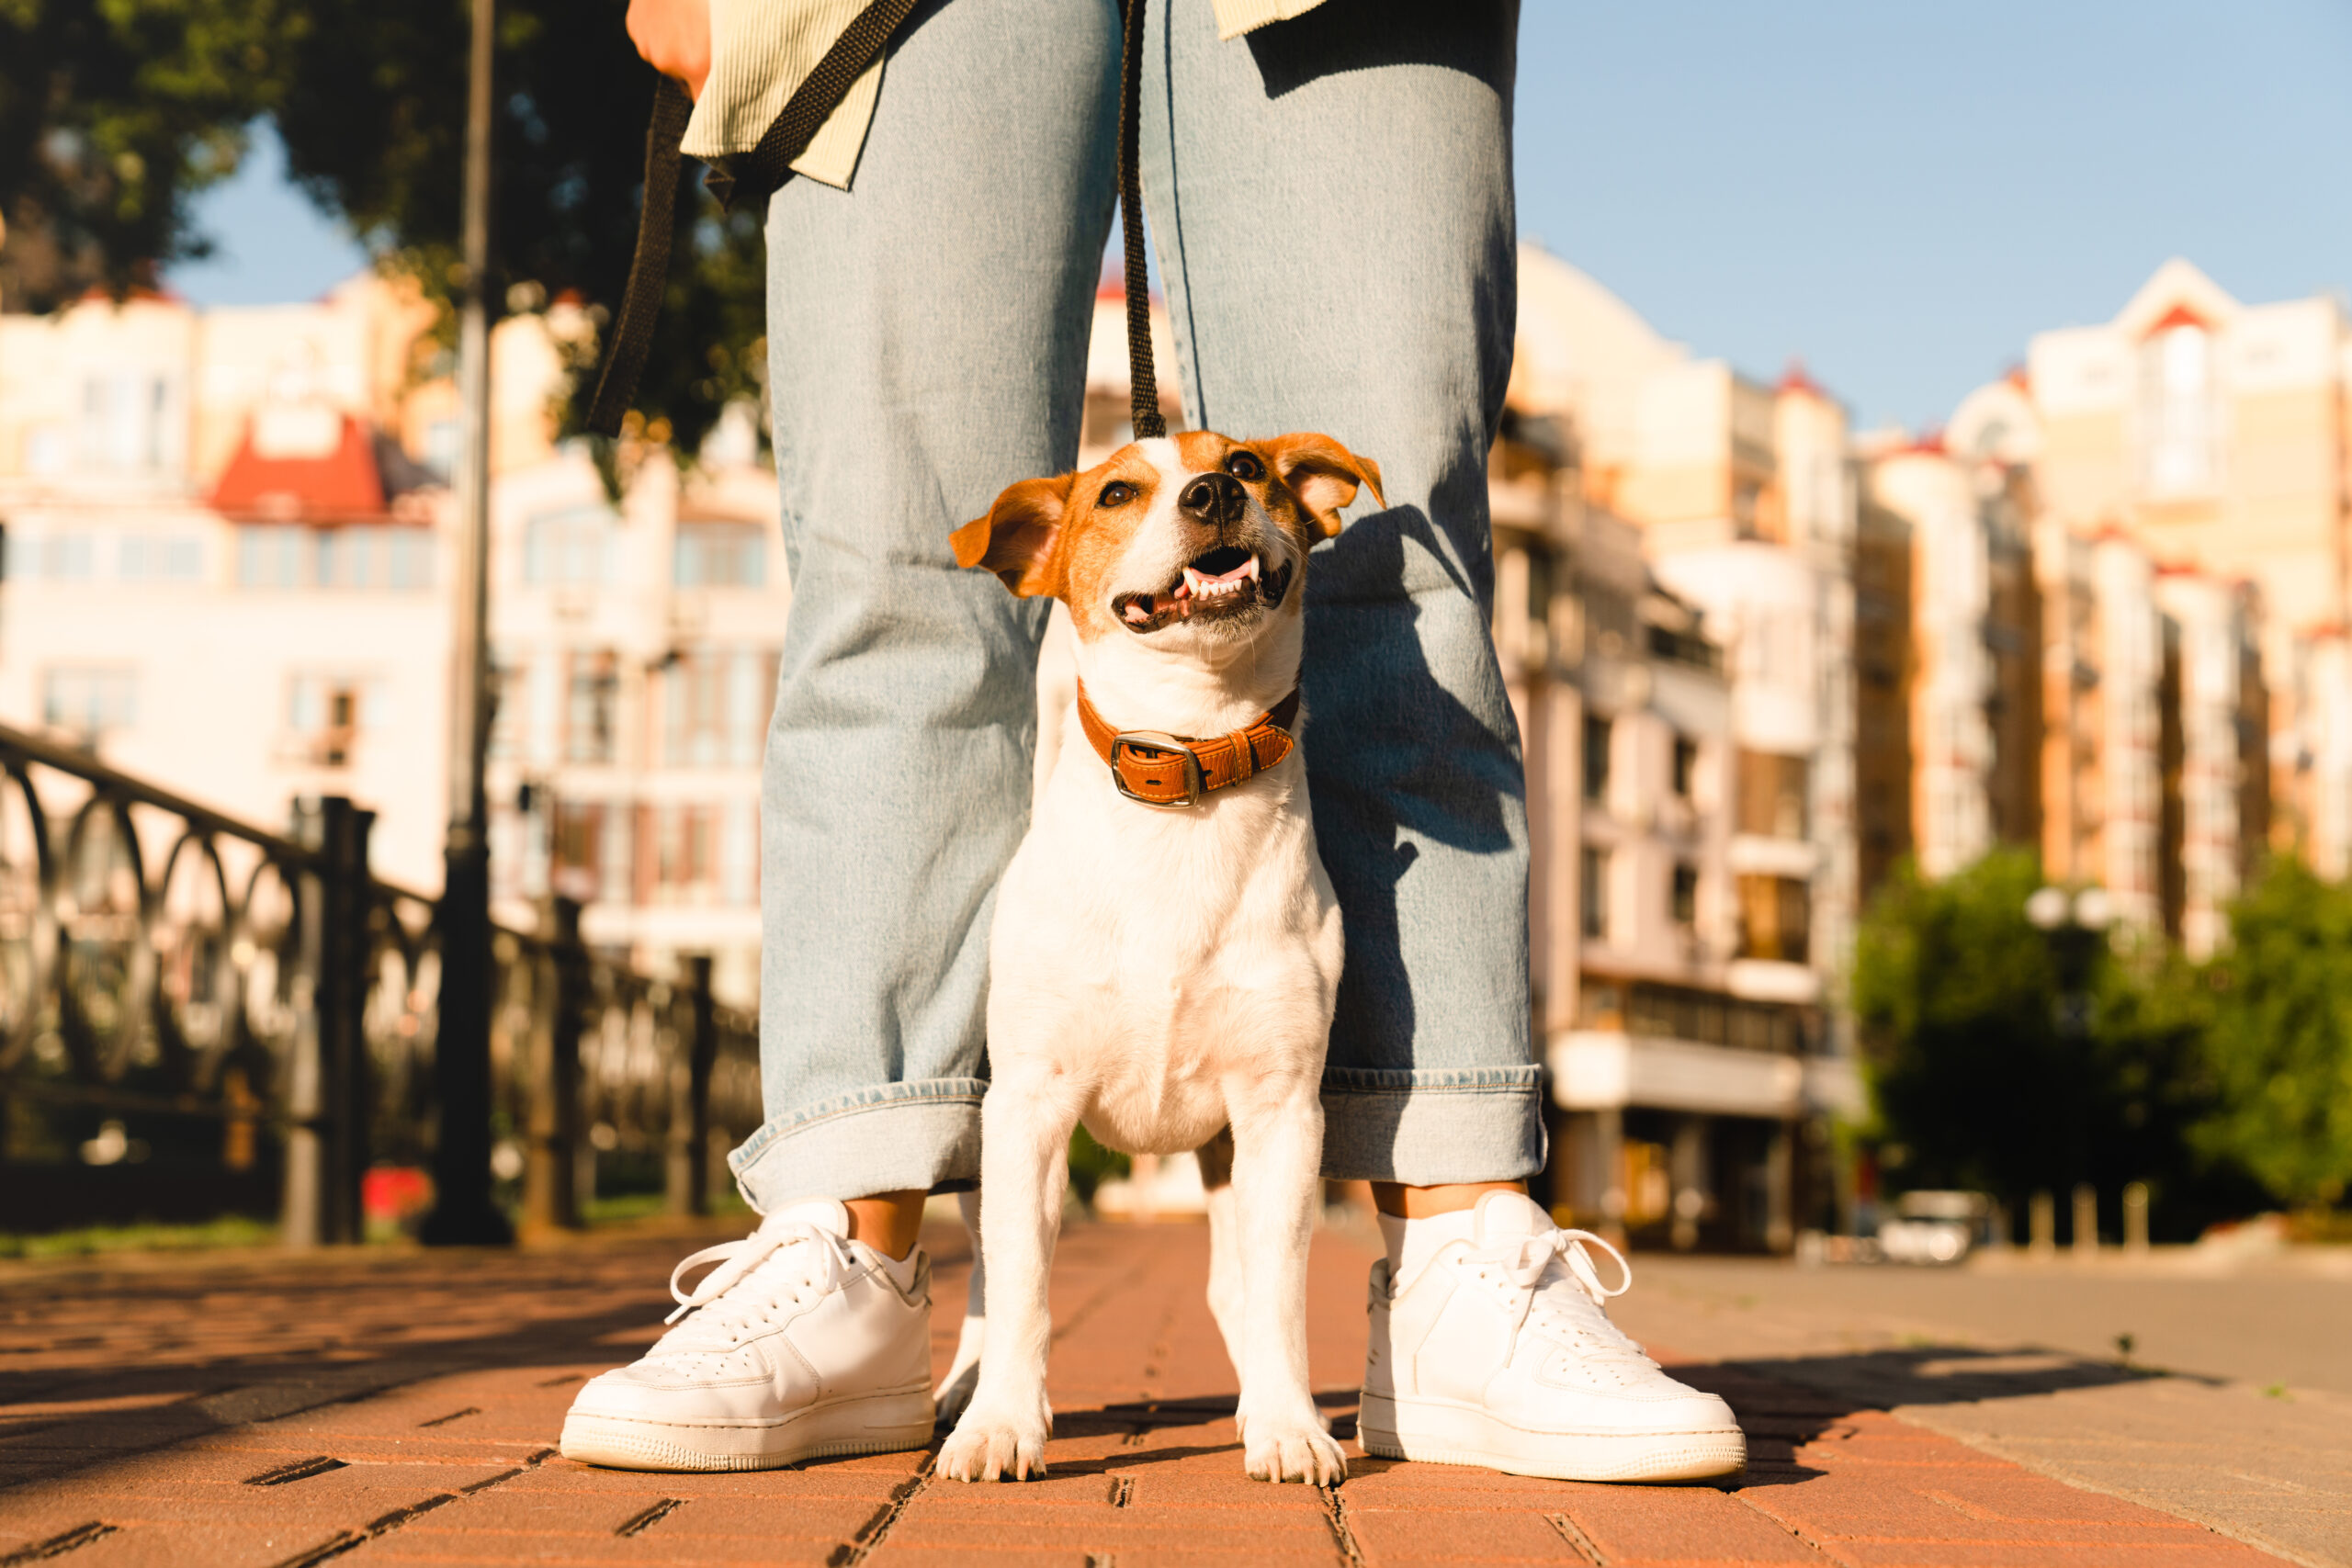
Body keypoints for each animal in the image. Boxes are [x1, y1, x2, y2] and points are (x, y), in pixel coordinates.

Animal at [931, 430, 1374, 1485]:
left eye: (1249, 466)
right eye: (1117, 492)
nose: (1211, 494)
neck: (1190, 759)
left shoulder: (1281, 1111)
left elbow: (1279, 1292)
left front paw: (1289, 1423)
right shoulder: (1031, 1106)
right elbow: (1021, 1284)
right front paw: (1002, 1423)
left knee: (1235, 1287)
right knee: (986, 1272)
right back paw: (965, 1389)